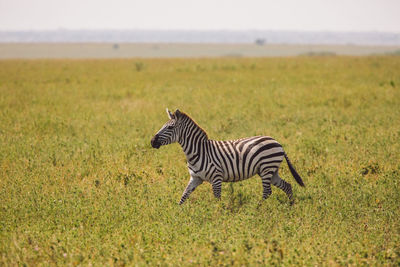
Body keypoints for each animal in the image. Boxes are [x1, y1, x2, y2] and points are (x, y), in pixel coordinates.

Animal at [149, 109, 304, 205]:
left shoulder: (216, 178)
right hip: (271, 170)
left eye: (170, 128)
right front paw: (176, 215)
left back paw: (258, 209)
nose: (152, 141)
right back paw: (291, 205)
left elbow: (217, 199)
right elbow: (183, 196)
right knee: (287, 186)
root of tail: (277, 142)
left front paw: (218, 216)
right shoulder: (195, 178)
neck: (198, 151)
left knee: (267, 192)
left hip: (267, 168)